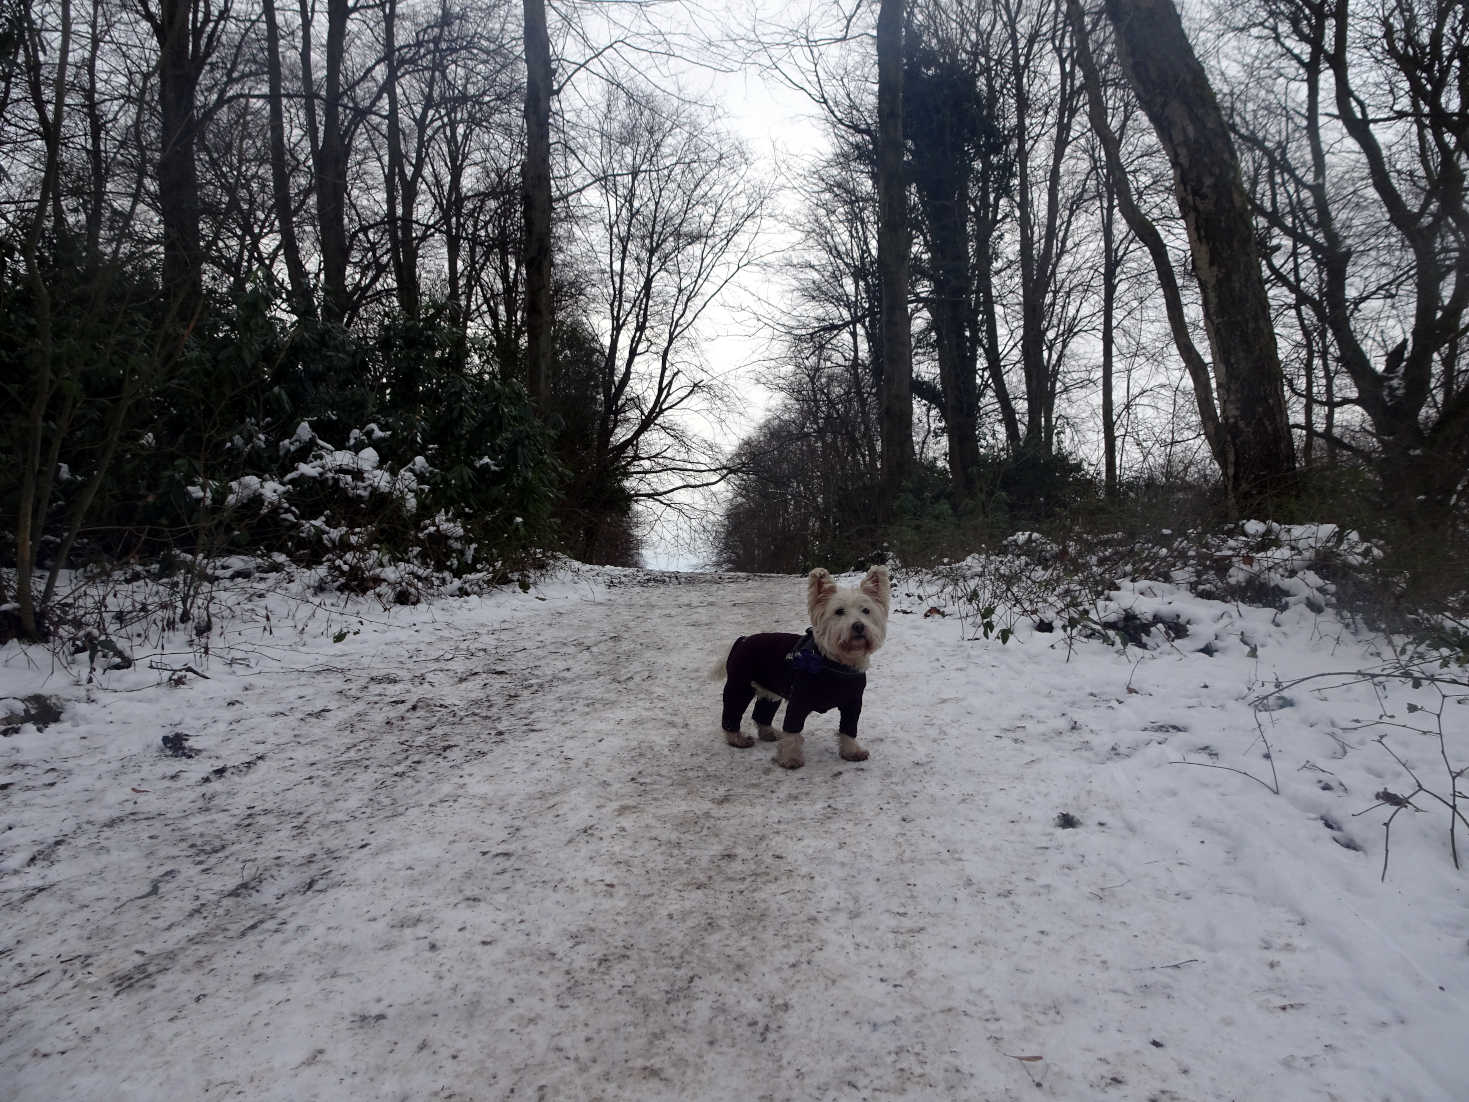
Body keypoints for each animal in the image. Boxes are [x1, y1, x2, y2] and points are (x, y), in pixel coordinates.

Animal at [713, 570, 887, 769]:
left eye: (866, 610)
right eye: (839, 611)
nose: (858, 626)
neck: (837, 663)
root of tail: (742, 640)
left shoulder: (853, 703)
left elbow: (849, 728)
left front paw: (852, 752)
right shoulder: (798, 700)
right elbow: (792, 730)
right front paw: (790, 758)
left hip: (770, 691)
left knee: (761, 713)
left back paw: (769, 733)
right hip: (740, 686)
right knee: (731, 714)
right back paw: (737, 739)